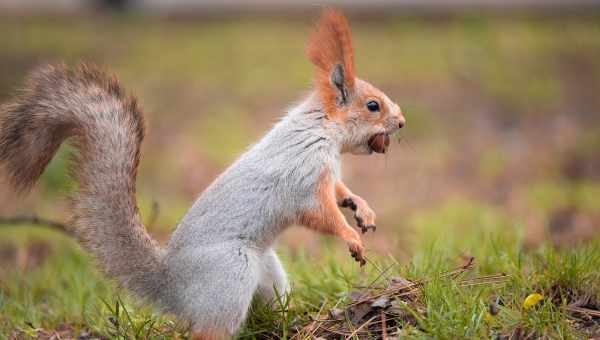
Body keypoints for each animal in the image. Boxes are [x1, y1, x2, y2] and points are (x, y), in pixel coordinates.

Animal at [0, 8, 406, 340]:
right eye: (373, 106)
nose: (401, 122)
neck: (323, 128)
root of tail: (173, 285)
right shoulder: (303, 177)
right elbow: (321, 213)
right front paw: (351, 236)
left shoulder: (326, 175)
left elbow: (340, 190)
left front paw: (362, 209)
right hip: (230, 276)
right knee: (208, 332)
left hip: (267, 276)